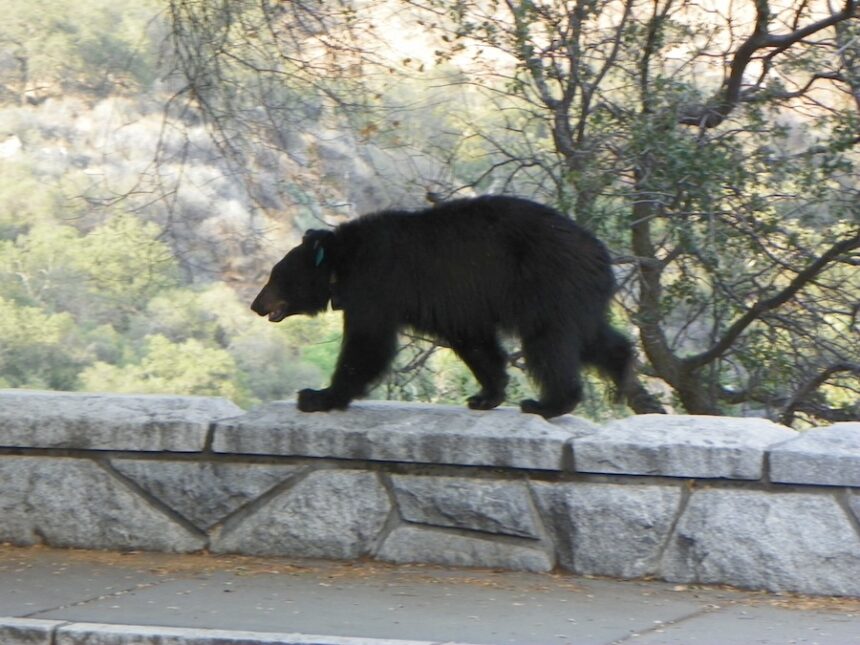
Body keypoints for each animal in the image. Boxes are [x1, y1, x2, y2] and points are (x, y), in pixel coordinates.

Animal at [251, 195, 632, 418]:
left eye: (274, 276)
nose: (256, 304)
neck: (342, 262)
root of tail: (601, 253)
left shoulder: (376, 283)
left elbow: (368, 343)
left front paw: (318, 396)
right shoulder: (454, 303)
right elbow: (473, 341)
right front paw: (487, 395)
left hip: (547, 283)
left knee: (548, 343)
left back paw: (549, 403)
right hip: (575, 295)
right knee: (594, 338)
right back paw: (623, 371)